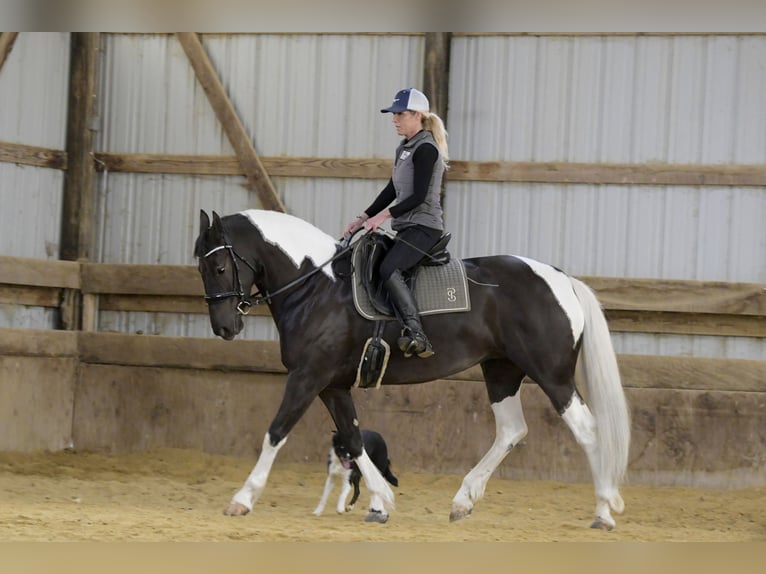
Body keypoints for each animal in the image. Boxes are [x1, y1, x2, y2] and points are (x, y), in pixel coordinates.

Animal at [194, 208, 631, 530]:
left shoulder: (307, 377)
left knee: (587, 431)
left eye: (219, 268)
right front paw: (380, 502)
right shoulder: (332, 385)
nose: (224, 328)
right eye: (200, 267)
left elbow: (276, 432)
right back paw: (463, 501)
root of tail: (562, 279)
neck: (316, 287)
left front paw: (242, 499)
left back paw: (603, 512)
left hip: (552, 376)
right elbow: (353, 438)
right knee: (511, 430)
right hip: (502, 371)